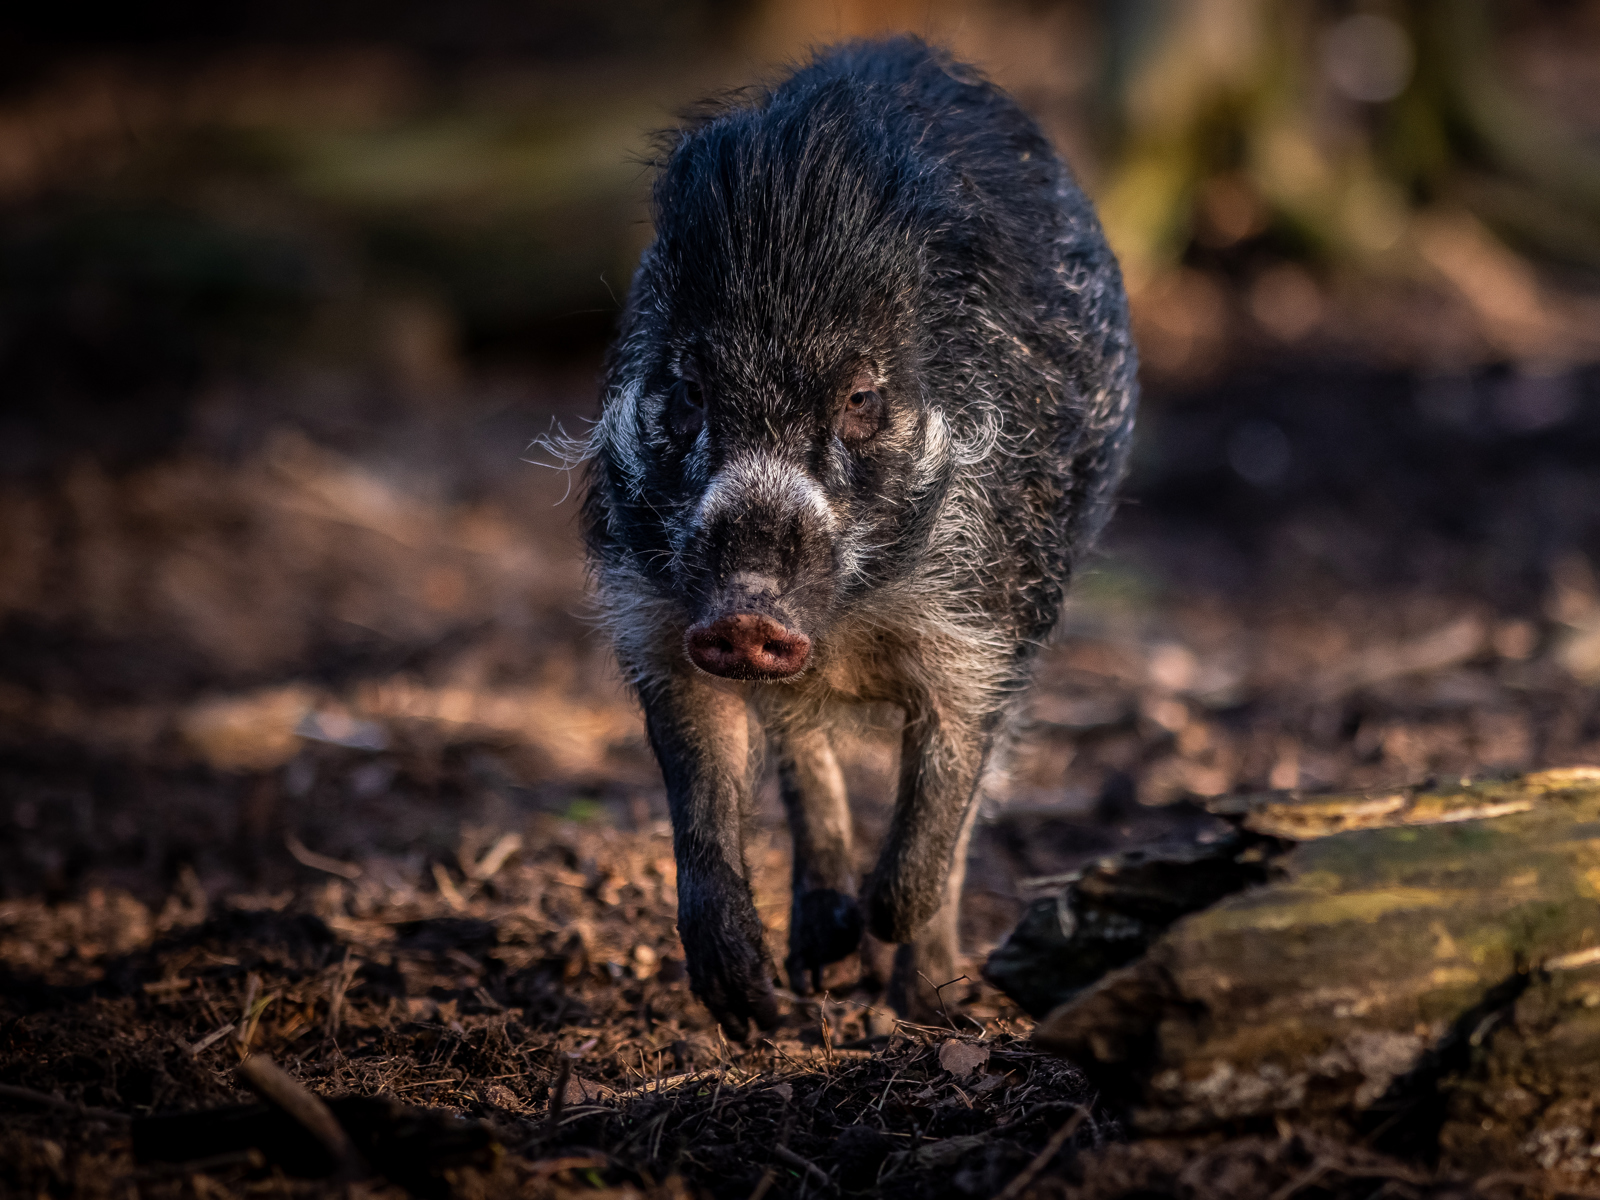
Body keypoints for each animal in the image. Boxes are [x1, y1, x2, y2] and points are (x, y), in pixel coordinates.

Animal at [576, 32, 1139, 1036]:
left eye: (862, 397)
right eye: (689, 390)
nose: (749, 612)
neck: (848, 619)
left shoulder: (986, 628)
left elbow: (945, 796)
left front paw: (887, 931)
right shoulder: (658, 618)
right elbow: (706, 796)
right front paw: (750, 1009)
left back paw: (931, 1000)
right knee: (804, 750)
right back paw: (819, 961)